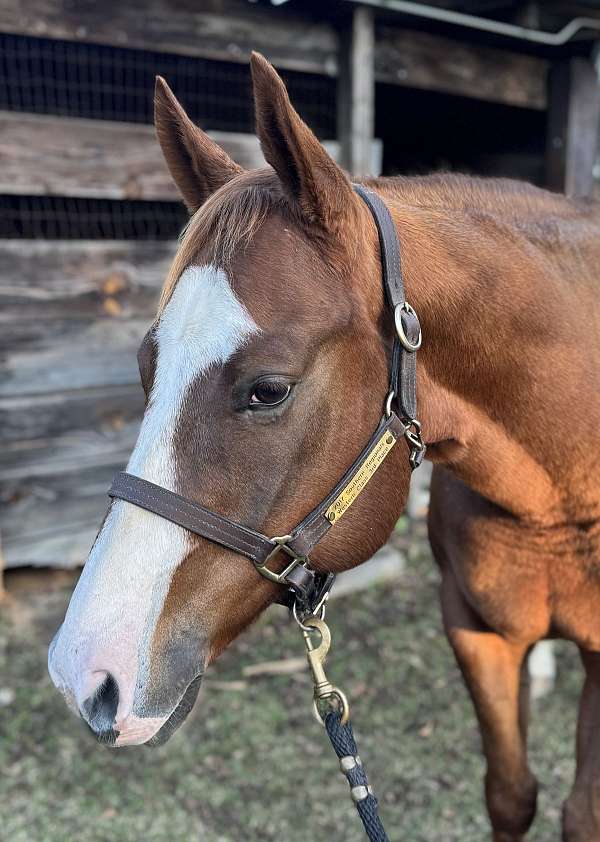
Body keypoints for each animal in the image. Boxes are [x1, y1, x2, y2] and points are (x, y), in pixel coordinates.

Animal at [48, 52, 600, 841]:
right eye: (146, 367)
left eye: (268, 389)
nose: (85, 675)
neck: (556, 494)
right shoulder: (475, 631)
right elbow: (509, 792)